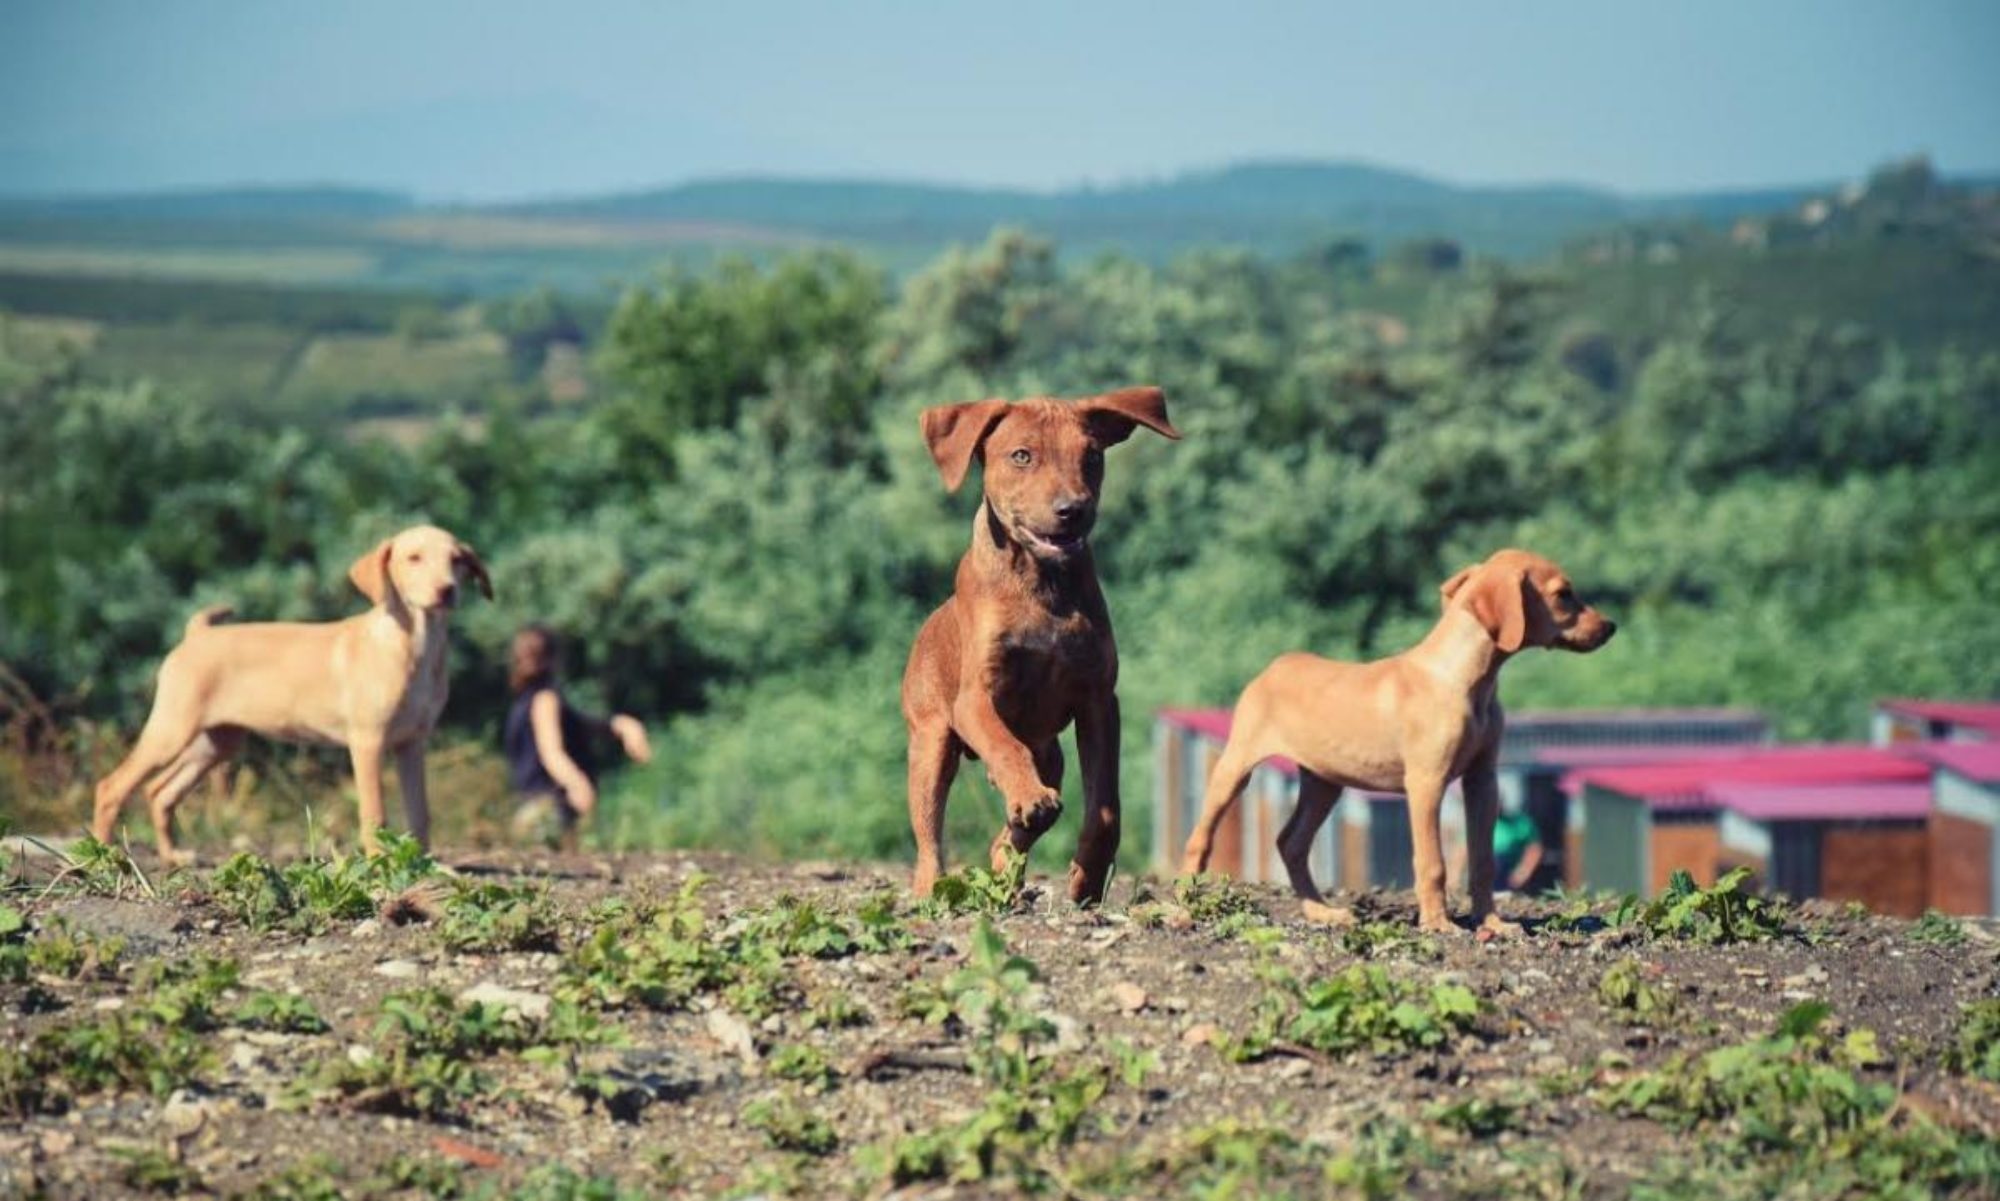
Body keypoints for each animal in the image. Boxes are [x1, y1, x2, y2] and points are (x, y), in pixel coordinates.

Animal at [904, 384, 1176, 900]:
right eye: (1021, 456)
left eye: (1092, 456)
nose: (1073, 511)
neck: (1041, 584)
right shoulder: (975, 699)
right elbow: (1003, 744)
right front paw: (1028, 797)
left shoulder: (1098, 700)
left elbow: (1106, 807)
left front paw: (1087, 877)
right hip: (931, 740)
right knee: (929, 834)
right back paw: (933, 887)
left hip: (1050, 754)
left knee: (1013, 832)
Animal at [1176, 548, 1616, 932]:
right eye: (1563, 594)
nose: (1611, 627)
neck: (1463, 679)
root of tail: (1276, 664)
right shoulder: (1426, 782)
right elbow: (1432, 862)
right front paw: (1439, 925)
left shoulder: (1483, 780)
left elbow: (1483, 860)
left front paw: (1492, 923)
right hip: (1235, 767)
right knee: (1200, 839)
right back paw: (1184, 909)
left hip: (1323, 782)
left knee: (1291, 843)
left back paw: (1322, 913)